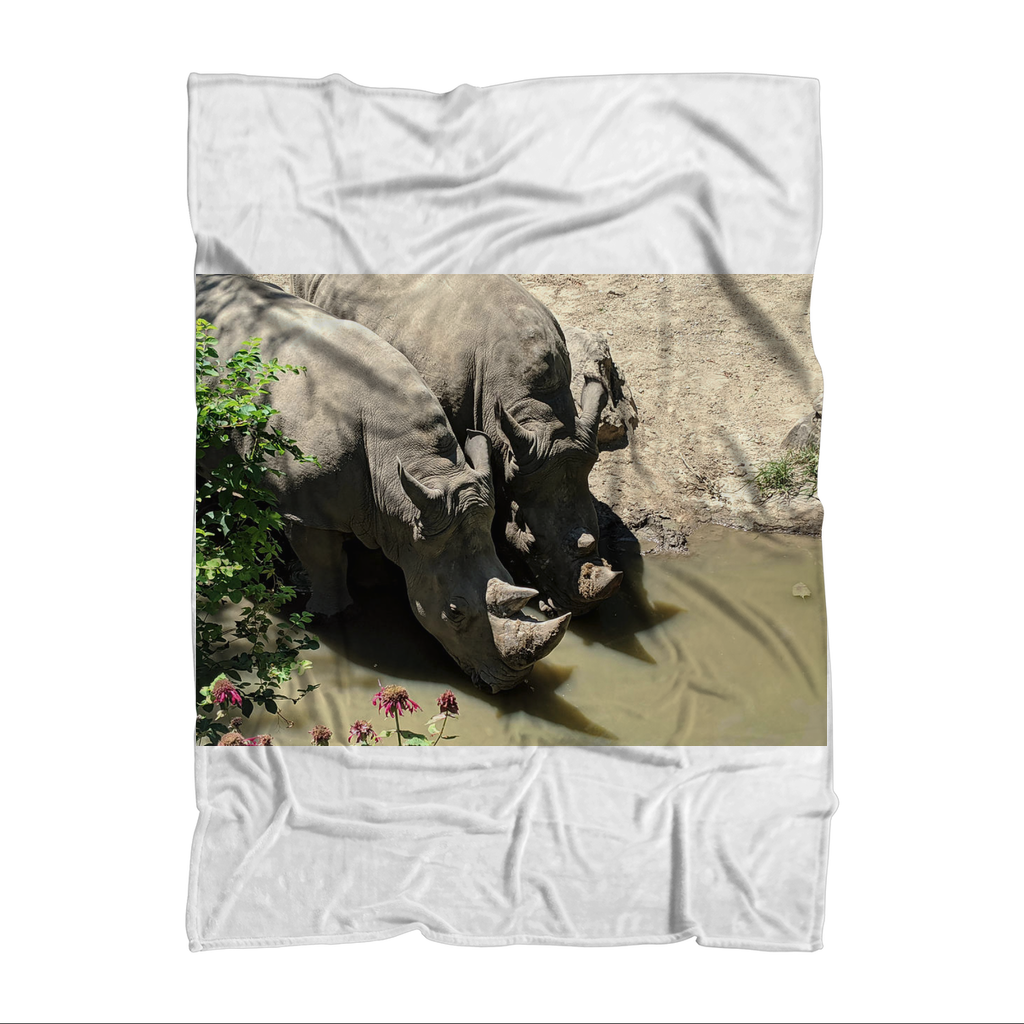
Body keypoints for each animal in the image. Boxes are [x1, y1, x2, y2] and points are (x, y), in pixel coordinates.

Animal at [195, 275, 570, 692]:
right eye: (454, 611)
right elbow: (326, 564)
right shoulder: (306, 510)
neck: (417, 464)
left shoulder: (397, 511)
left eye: (511, 579)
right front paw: (333, 616)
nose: (511, 684)